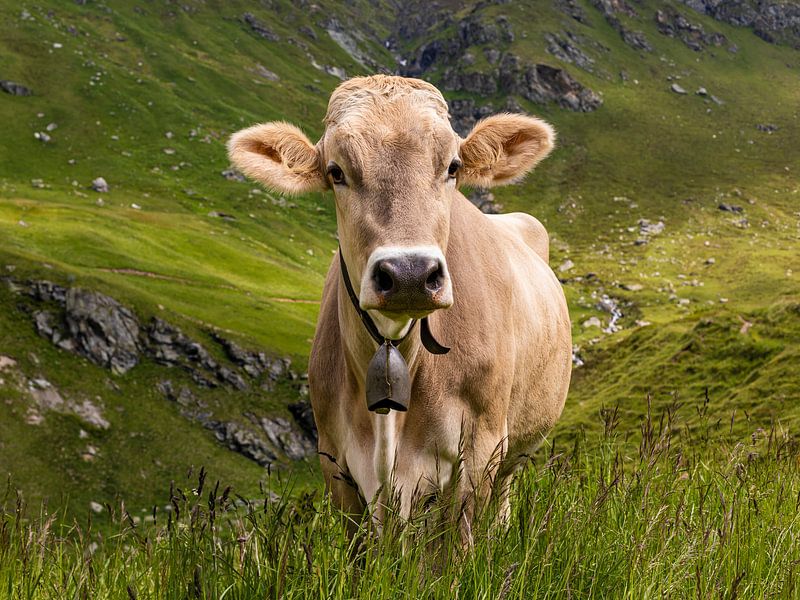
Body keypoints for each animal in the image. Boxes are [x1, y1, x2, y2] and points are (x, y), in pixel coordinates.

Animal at [228, 75, 572, 534]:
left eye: (453, 166)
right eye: (336, 172)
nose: (410, 273)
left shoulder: (478, 449)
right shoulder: (335, 460)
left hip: (514, 450)